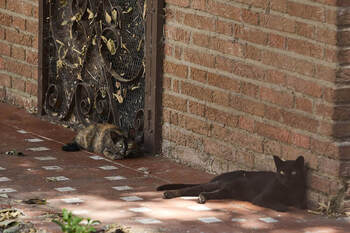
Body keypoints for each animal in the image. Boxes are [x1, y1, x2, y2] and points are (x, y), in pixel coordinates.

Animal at [157, 156, 306, 212]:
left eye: (293, 172)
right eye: (282, 172)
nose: (286, 179)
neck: (287, 190)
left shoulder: (298, 199)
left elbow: (299, 205)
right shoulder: (261, 198)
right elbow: (278, 205)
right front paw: (283, 206)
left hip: (224, 192)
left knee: (204, 193)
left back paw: (202, 198)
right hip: (216, 185)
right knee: (189, 189)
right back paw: (169, 193)